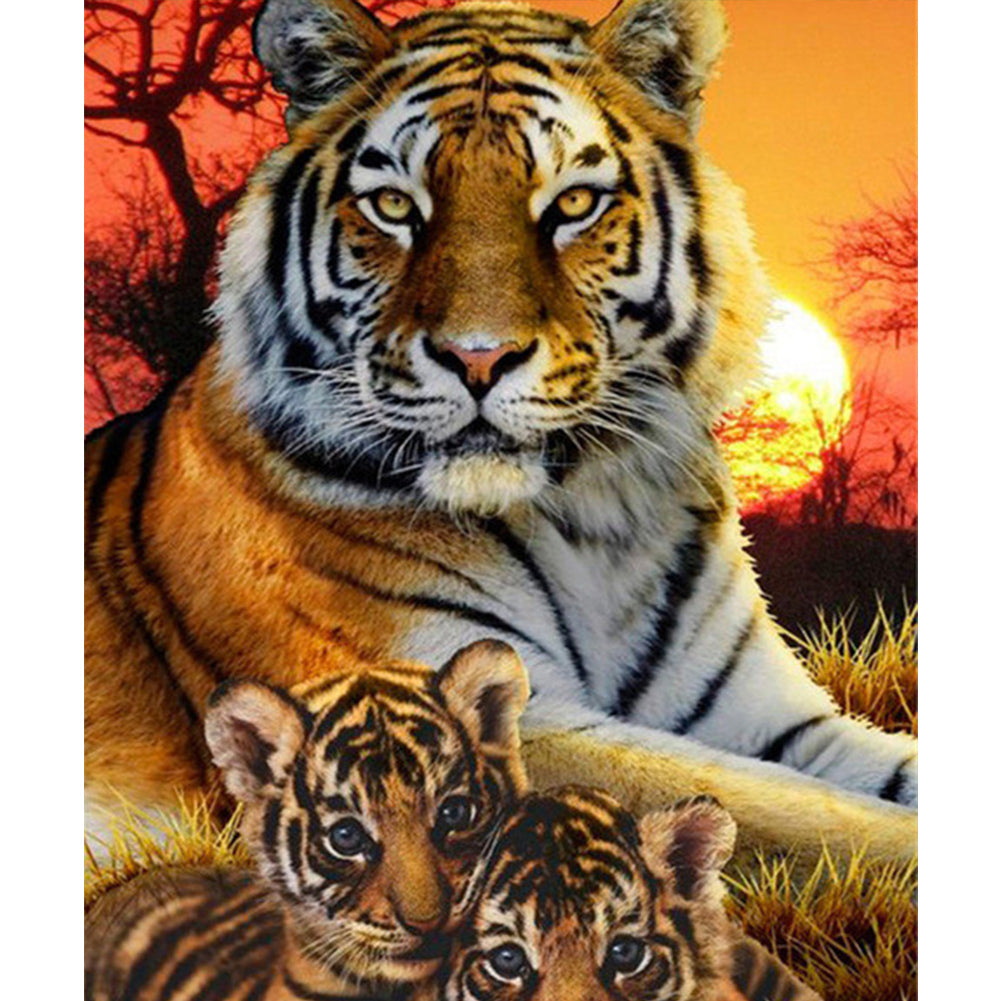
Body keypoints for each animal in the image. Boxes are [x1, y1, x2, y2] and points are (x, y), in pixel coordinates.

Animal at [85, 0, 916, 864]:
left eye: (573, 204)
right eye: (395, 206)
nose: (477, 356)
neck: (595, 518)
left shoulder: (768, 715)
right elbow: (808, 817)